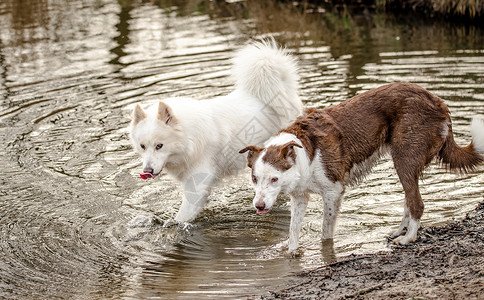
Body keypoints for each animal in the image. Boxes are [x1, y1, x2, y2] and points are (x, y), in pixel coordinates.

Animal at [130, 40, 300, 223]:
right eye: (142, 146)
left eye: (159, 146)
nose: (147, 171)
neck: (189, 138)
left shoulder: (196, 184)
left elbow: (182, 217)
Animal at [241, 82, 484, 253]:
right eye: (254, 178)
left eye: (274, 179)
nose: (259, 206)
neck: (305, 152)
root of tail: (438, 102)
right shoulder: (300, 196)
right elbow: (293, 229)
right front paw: (291, 252)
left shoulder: (333, 192)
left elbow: (326, 231)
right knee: (408, 198)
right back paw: (399, 231)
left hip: (404, 158)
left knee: (416, 203)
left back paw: (408, 238)